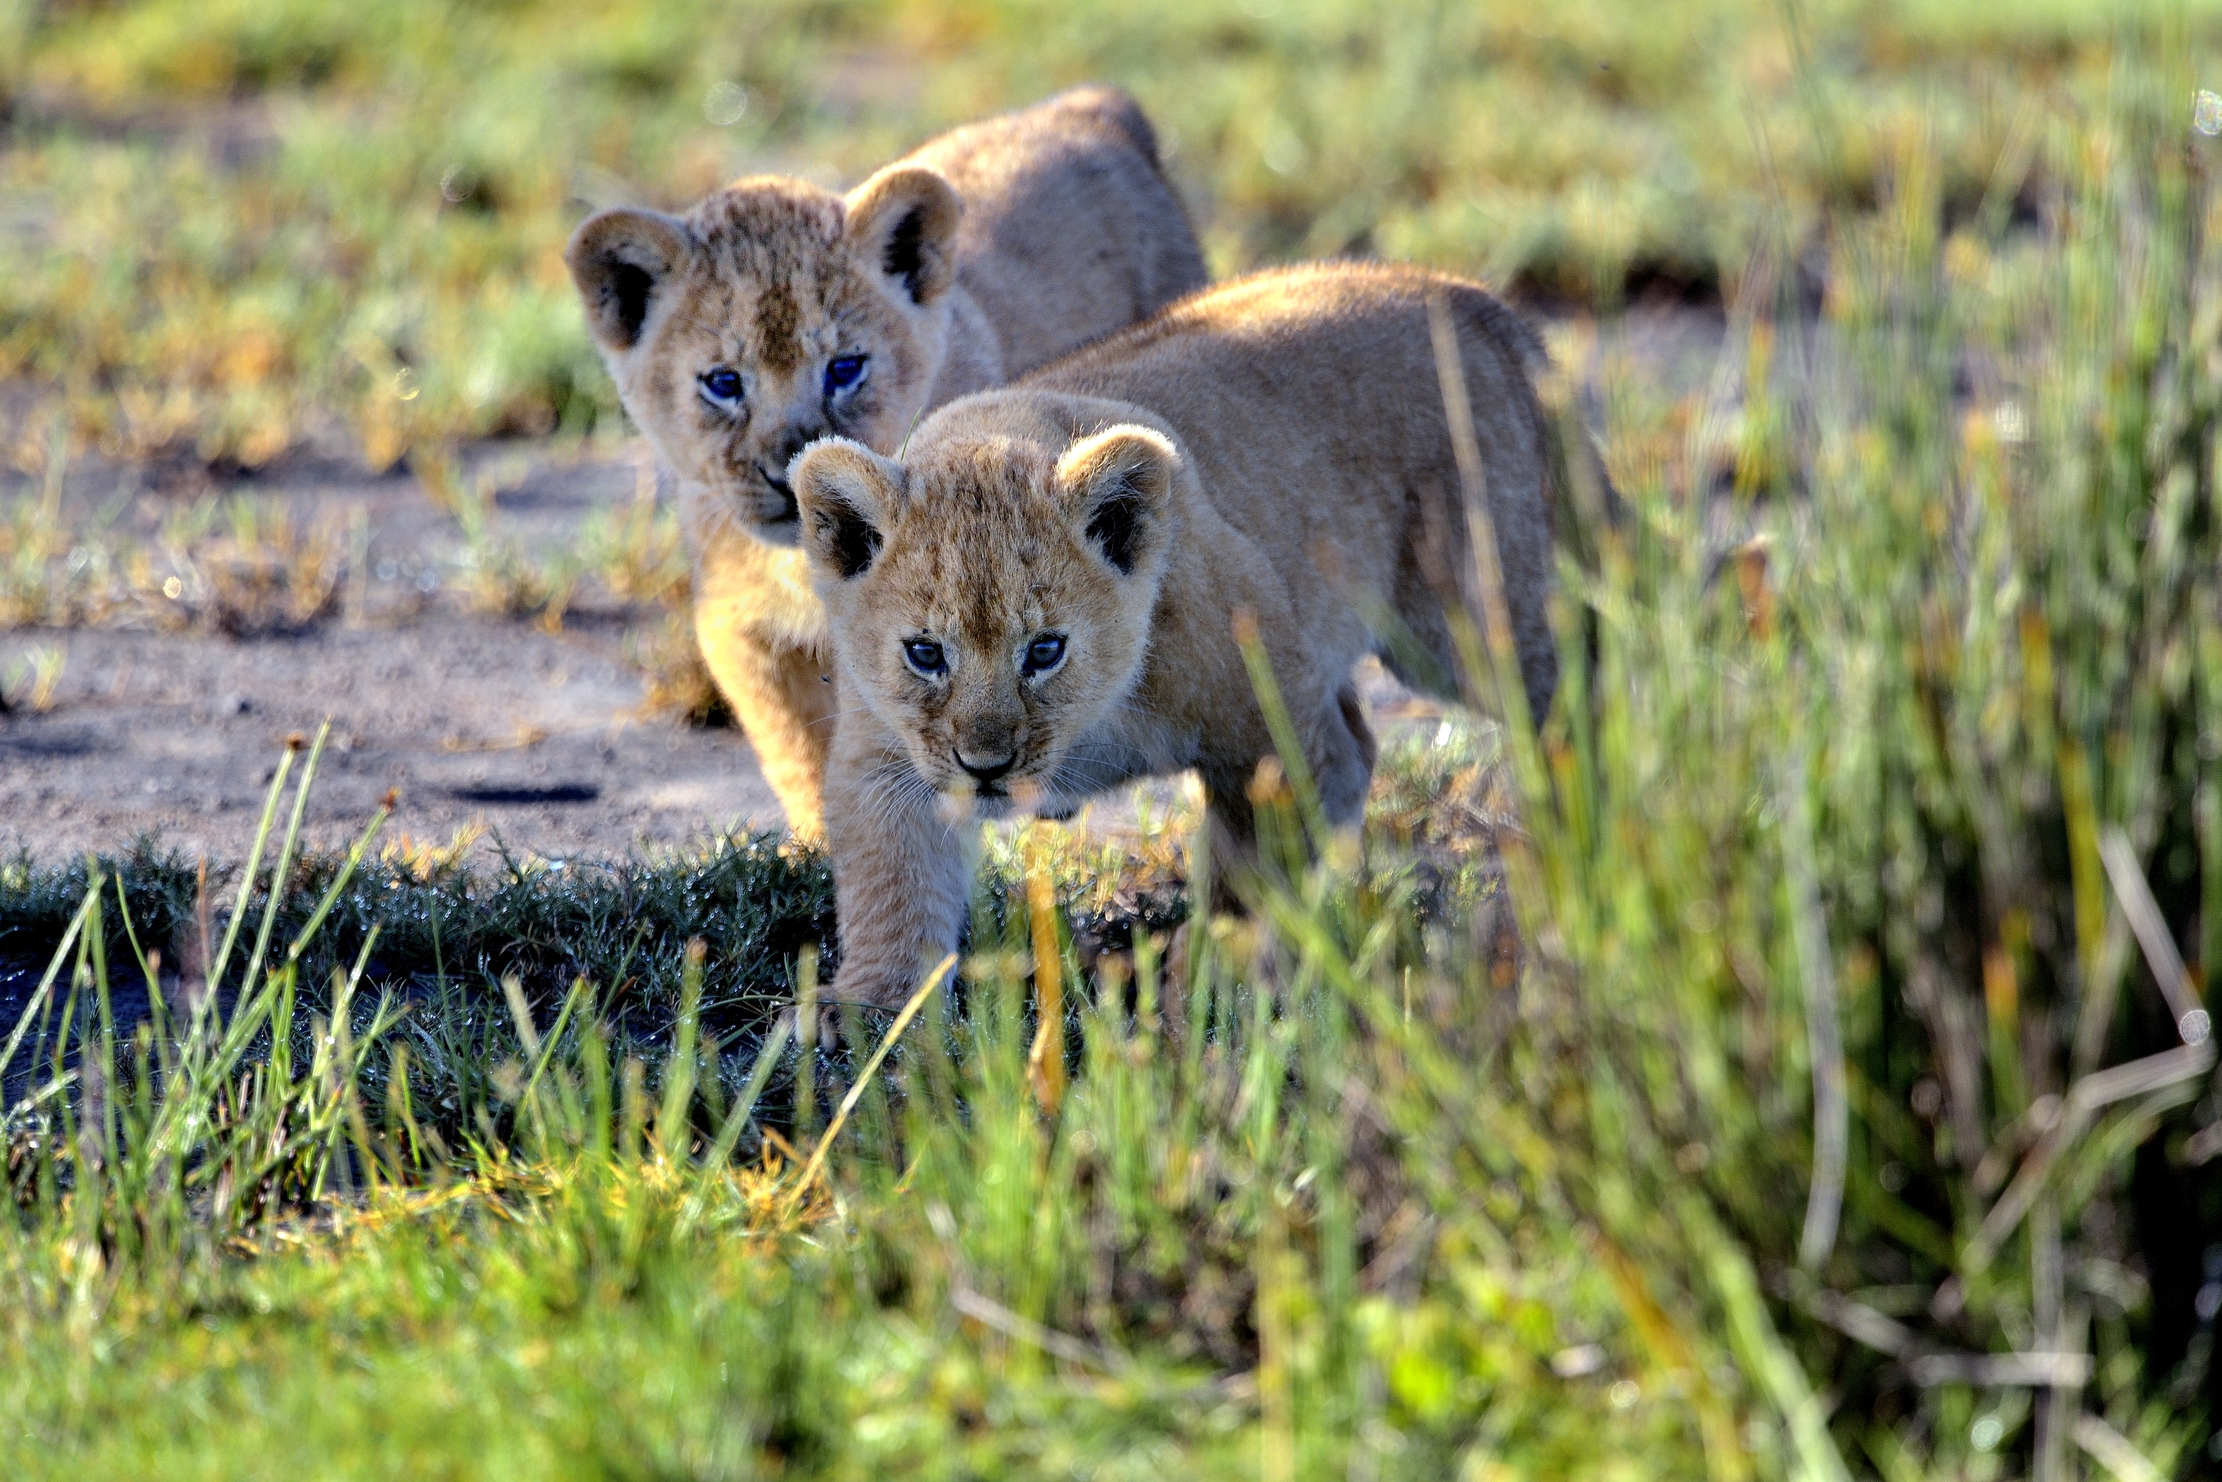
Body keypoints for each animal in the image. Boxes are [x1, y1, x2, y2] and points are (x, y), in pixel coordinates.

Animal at [565, 86, 1209, 837]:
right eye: (723, 382)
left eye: (846, 368)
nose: (790, 470)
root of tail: (1088, 103)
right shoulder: (741, 628)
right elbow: (801, 754)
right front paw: (817, 847)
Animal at [788, 261, 1568, 1006]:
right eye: (924, 654)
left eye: (1045, 651)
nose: (986, 767)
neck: (1091, 727)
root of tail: (1471, 297)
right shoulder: (885, 755)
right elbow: (892, 885)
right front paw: (869, 1009)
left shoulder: (1270, 732)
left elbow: (1254, 863)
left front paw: (1211, 971)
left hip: (1470, 620)